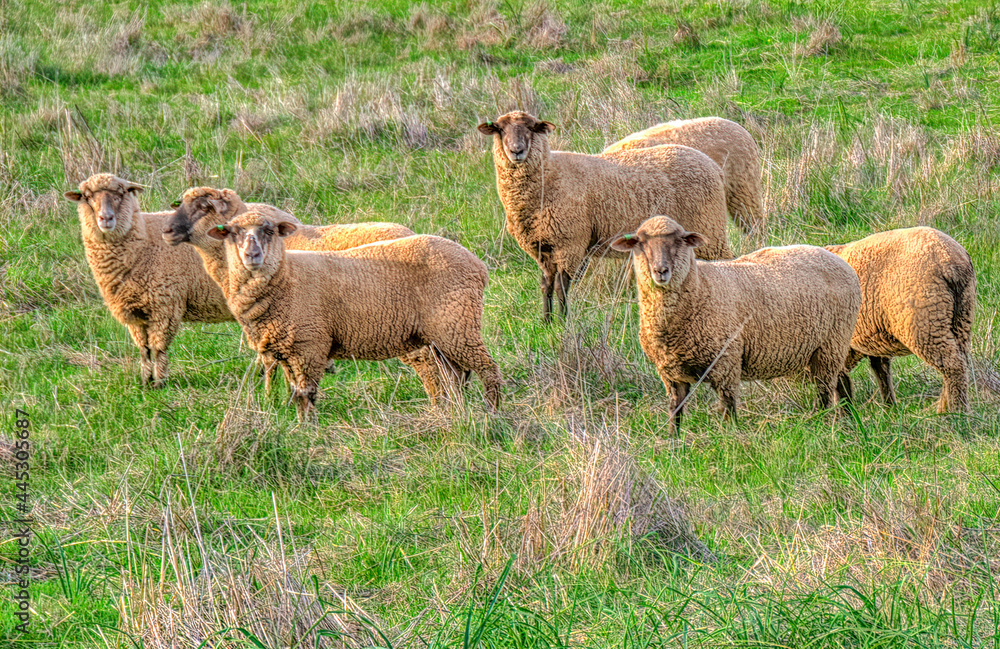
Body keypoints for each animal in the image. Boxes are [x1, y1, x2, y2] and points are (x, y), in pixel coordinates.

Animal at [64, 173, 231, 388]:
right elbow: (144, 350)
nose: (106, 218)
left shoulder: (164, 306)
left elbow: (158, 348)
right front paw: (145, 382)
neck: (144, 241)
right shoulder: (135, 314)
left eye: (120, 194)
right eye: (87, 196)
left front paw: (160, 383)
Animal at [208, 207, 503, 418]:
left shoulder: (309, 345)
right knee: (455, 376)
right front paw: (300, 426)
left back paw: (492, 413)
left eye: (270, 231)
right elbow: (295, 393)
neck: (285, 277)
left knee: (487, 368)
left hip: (456, 322)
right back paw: (456, 413)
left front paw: (308, 430)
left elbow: (306, 395)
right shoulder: (288, 350)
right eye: (233, 232)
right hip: (442, 334)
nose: (252, 254)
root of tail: (478, 265)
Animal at [478, 111, 732, 322]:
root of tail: (713, 166)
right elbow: (545, 285)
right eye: (500, 129)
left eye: (531, 128)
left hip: (710, 228)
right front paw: (546, 321)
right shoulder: (541, 247)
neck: (549, 175)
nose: (517, 151)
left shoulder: (570, 243)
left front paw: (563, 323)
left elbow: (561, 287)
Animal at [611, 216, 861, 430]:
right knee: (842, 381)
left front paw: (728, 437)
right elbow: (675, 411)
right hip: (826, 348)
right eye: (640, 242)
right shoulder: (671, 374)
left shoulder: (726, 362)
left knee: (825, 390)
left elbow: (728, 408)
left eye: (679, 240)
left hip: (831, 343)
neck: (701, 287)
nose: (661, 271)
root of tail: (839, 259)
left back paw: (821, 421)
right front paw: (674, 443)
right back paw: (847, 418)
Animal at [825, 227, 976, 413]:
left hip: (925, 318)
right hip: (962, 314)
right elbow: (881, 371)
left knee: (952, 364)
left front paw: (844, 414)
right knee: (961, 358)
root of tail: (950, 259)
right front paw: (889, 408)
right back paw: (945, 406)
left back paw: (955, 411)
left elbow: (840, 379)